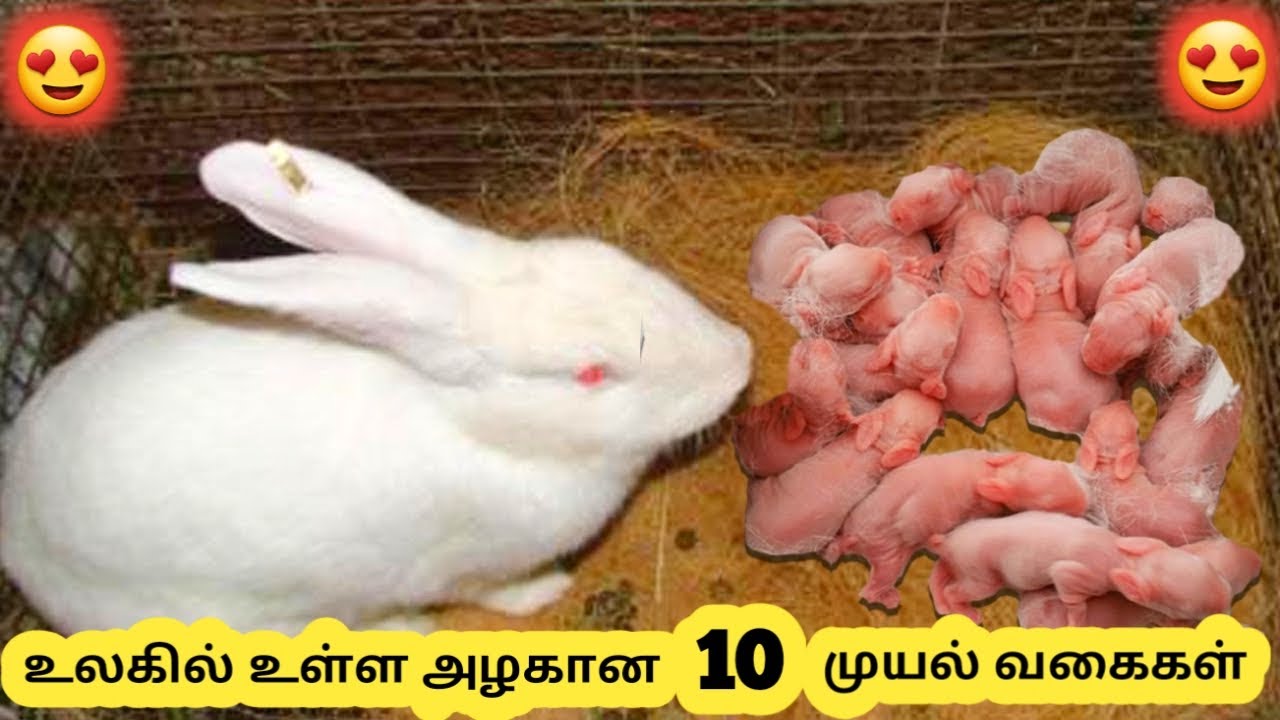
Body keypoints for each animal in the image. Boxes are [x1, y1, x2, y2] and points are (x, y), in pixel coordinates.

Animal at [0, 139, 754, 636]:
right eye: (592, 373)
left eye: (614, 259)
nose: (740, 360)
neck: (474, 423)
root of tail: (19, 535)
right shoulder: (468, 564)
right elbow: (496, 590)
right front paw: (548, 592)